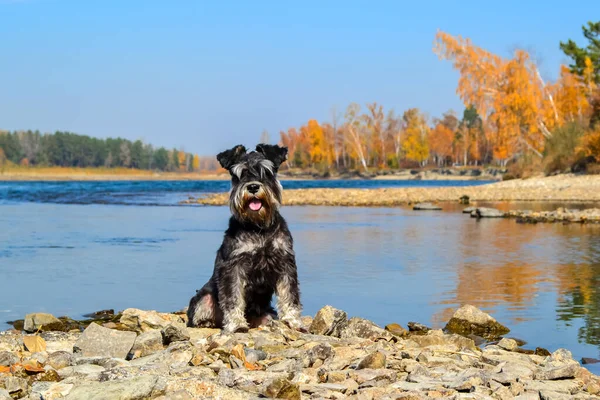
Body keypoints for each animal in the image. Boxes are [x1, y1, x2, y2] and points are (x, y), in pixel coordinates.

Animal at [186, 142, 304, 332]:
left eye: (266, 171)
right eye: (240, 174)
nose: (253, 187)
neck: (258, 227)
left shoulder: (285, 262)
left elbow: (289, 293)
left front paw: (292, 321)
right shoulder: (234, 266)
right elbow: (233, 297)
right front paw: (236, 325)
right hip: (204, 297)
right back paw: (208, 322)